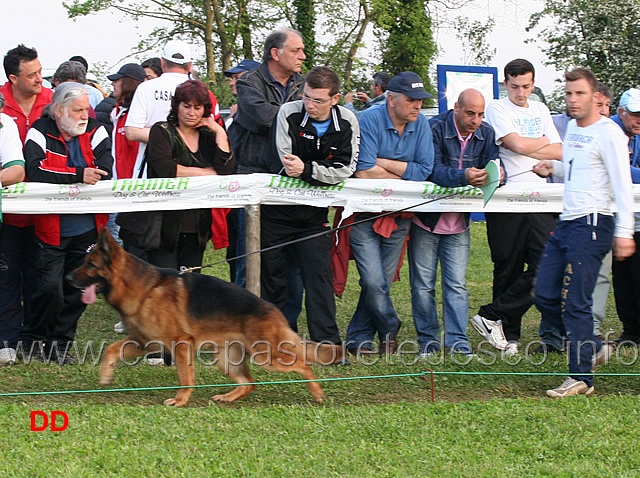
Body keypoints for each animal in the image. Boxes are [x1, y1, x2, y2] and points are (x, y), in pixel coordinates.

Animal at [67, 230, 342, 406]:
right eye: (84, 262)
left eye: (90, 265)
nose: (68, 278)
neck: (143, 288)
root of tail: (274, 311)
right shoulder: (145, 342)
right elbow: (111, 350)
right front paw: (106, 375)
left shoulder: (180, 344)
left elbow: (184, 377)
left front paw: (180, 401)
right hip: (226, 360)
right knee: (250, 382)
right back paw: (228, 397)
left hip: (266, 357)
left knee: (303, 364)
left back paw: (317, 393)